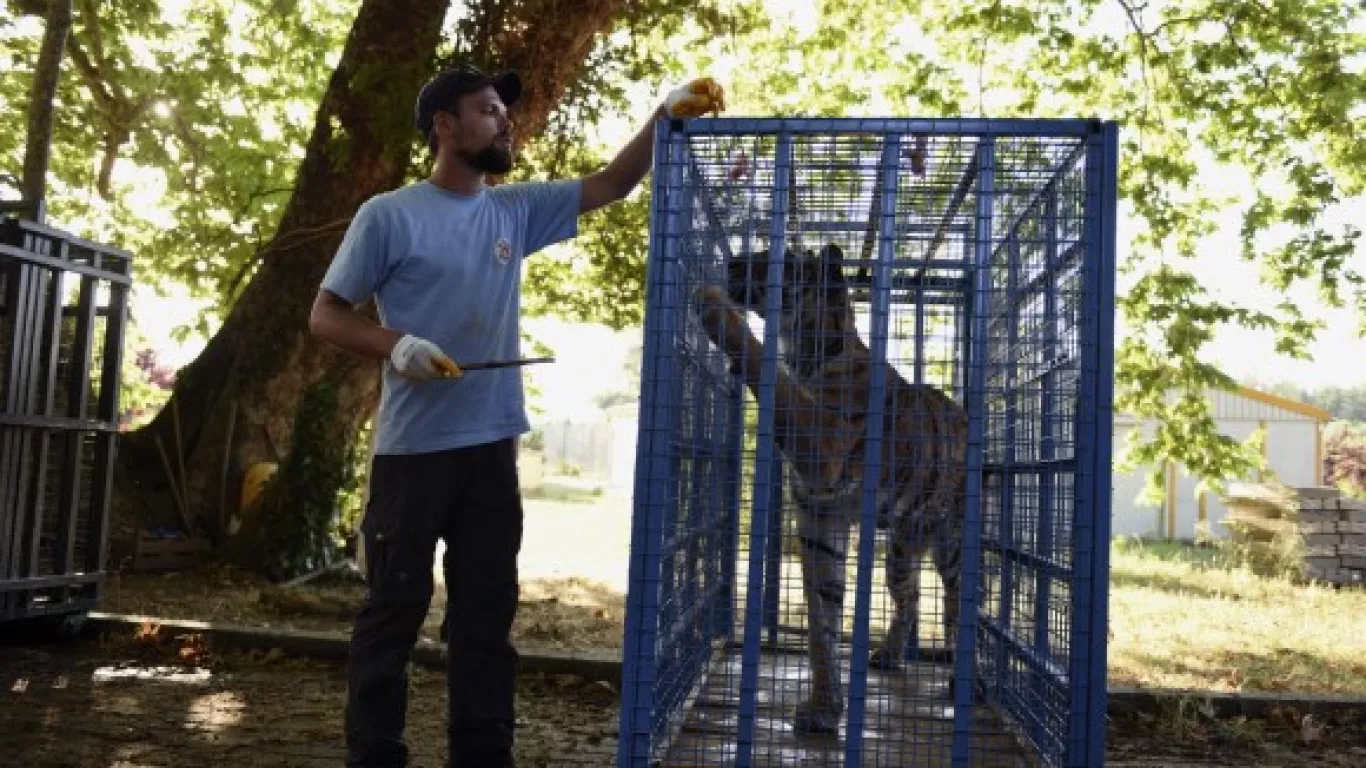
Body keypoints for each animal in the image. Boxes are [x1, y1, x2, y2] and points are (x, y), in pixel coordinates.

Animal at [693, 241, 972, 732]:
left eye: (781, 257)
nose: (731, 264)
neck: (806, 352)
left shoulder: (823, 443)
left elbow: (771, 374)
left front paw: (712, 305)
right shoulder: (821, 515)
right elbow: (822, 619)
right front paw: (823, 708)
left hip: (952, 544)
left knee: (960, 608)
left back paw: (960, 681)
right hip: (901, 549)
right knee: (911, 597)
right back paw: (889, 655)